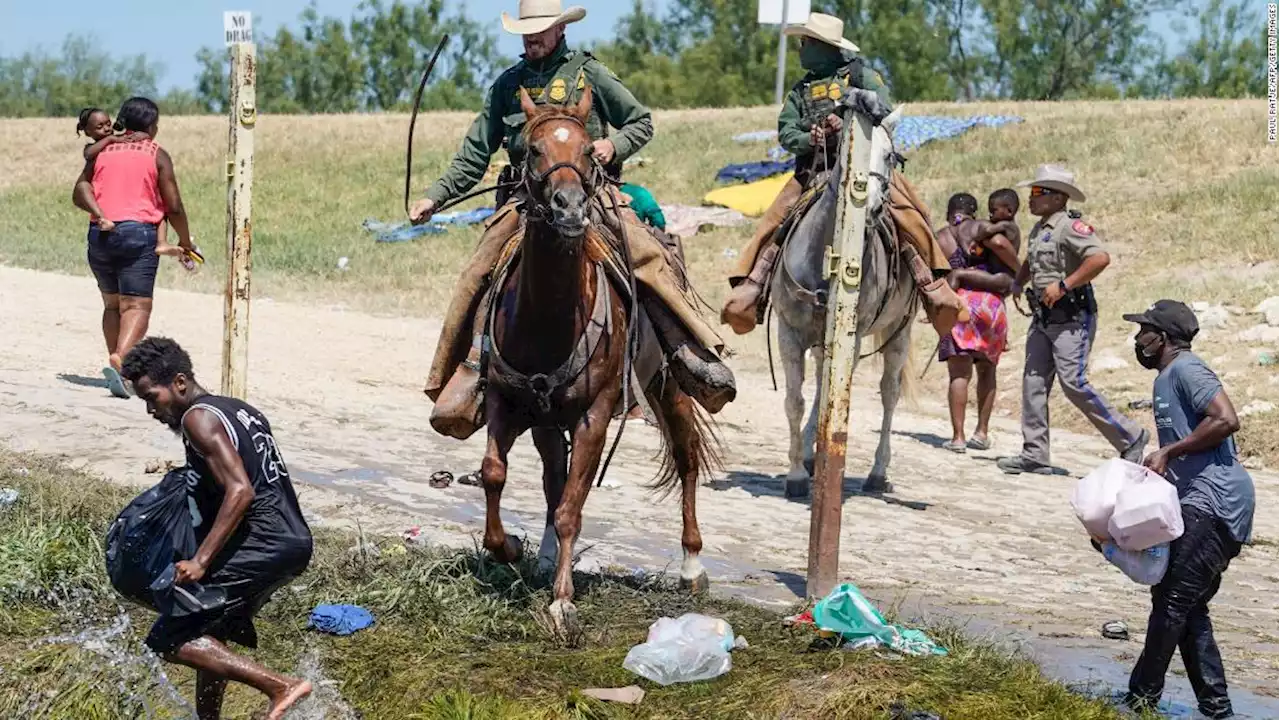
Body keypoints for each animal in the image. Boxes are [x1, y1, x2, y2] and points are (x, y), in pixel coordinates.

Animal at [481, 87, 721, 635]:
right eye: (532, 149)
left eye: (589, 150)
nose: (569, 207)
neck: (548, 319)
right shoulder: (508, 401)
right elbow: (495, 474)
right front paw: (509, 548)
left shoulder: (594, 416)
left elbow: (573, 506)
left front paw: (562, 602)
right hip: (548, 421)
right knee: (553, 478)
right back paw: (547, 555)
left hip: (668, 387)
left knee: (686, 457)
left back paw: (692, 565)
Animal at [768, 102, 921, 491]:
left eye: (890, 156)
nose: (872, 207)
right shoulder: (789, 332)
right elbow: (795, 401)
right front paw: (796, 473)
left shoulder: (852, 336)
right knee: (823, 383)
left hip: (900, 332)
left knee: (888, 393)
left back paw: (878, 472)